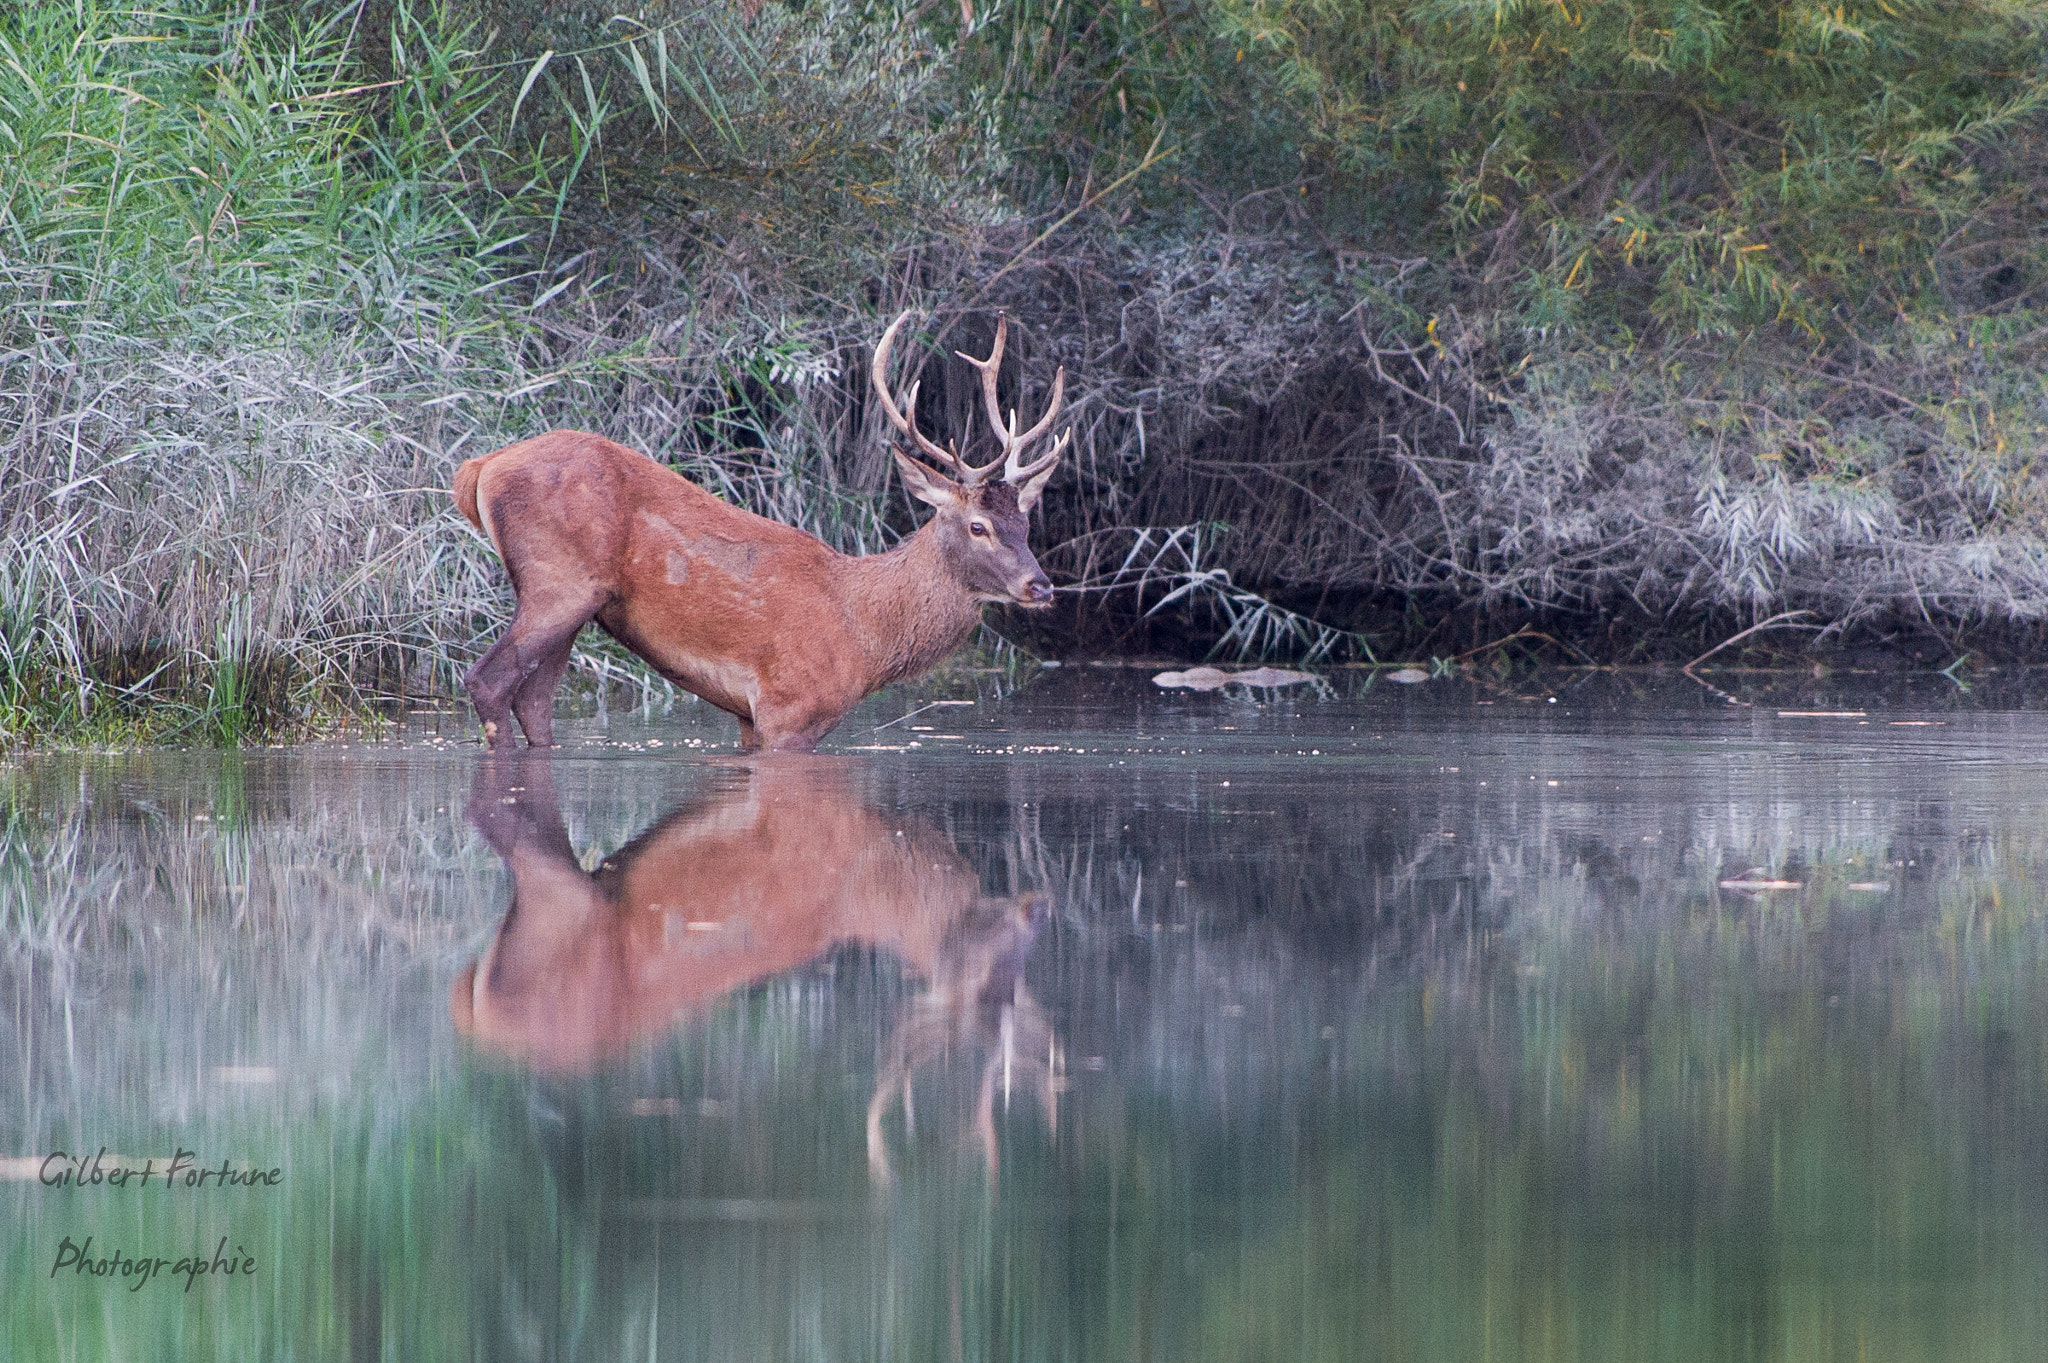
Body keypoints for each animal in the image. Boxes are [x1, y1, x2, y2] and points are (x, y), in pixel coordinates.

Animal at [451, 311, 1070, 752]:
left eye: (1025, 522)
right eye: (978, 526)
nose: (1041, 586)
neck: (864, 634)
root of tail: (482, 468)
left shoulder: (750, 720)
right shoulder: (787, 706)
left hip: (577, 599)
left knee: (534, 699)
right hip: (559, 579)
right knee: (488, 681)